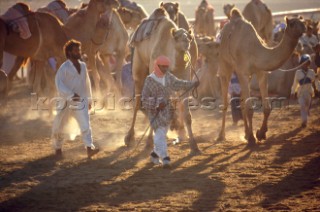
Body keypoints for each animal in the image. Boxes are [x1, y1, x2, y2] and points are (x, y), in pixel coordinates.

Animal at [124, 7, 199, 155]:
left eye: (189, 37)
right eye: (178, 38)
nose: (187, 43)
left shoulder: (184, 81)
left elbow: (187, 114)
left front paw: (194, 145)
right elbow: (154, 109)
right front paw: (149, 143)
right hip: (138, 70)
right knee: (138, 102)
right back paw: (130, 138)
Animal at [218, 8, 304, 145]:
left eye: (302, 21)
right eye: (291, 24)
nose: (303, 27)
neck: (256, 50)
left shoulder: (261, 73)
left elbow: (267, 108)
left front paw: (260, 134)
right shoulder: (243, 72)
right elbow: (249, 108)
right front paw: (253, 138)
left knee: (241, 100)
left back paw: (246, 134)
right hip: (225, 64)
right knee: (225, 100)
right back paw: (221, 135)